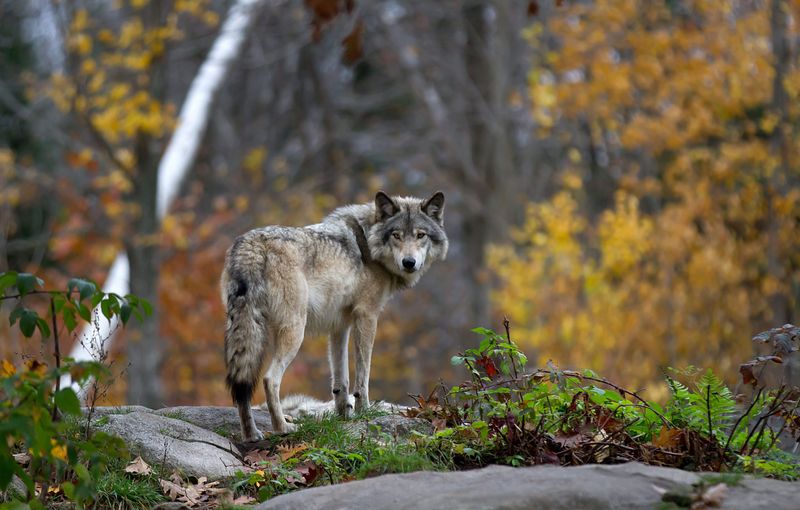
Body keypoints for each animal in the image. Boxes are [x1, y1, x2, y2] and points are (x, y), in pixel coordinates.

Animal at [222, 191, 446, 442]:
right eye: (396, 235)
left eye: (420, 235)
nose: (409, 263)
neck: (369, 243)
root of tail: (252, 244)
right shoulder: (367, 316)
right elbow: (362, 376)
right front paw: (364, 412)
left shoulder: (339, 326)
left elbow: (341, 379)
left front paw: (344, 416)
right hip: (295, 331)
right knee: (270, 379)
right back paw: (283, 428)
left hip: (245, 330)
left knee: (242, 385)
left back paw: (251, 434)